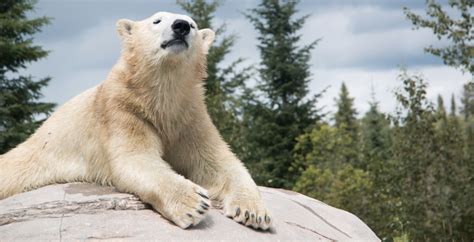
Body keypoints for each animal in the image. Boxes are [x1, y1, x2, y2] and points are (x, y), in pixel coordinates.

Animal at [0, 11, 272, 231]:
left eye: (193, 25)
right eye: (157, 20)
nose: (181, 26)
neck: (160, 99)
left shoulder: (189, 117)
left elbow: (218, 162)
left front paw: (254, 213)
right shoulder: (123, 111)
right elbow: (136, 158)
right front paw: (193, 202)